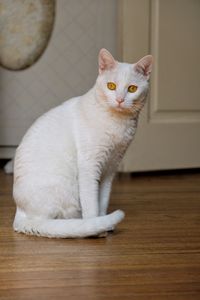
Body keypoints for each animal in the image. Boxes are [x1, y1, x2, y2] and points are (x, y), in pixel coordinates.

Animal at [12, 48, 153, 237]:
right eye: (111, 86)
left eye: (132, 88)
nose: (120, 100)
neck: (118, 124)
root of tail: (19, 212)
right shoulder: (90, 167)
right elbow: (91, 205)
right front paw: (96, 228)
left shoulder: (110, 169)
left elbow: (102, 201)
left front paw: (103, 224)